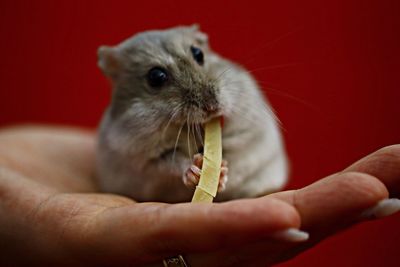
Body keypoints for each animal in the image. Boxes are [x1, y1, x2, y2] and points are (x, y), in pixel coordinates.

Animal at [97, 26, 290, 204]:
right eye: (156, 76)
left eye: (198, 54)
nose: (212, 107)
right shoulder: (142, 157)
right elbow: (171, 162)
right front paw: (194, 170)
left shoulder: (247, 134)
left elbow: (235, 154)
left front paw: (222, 172)